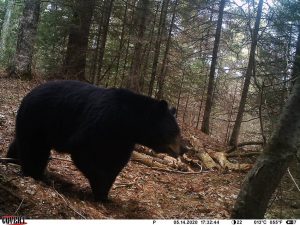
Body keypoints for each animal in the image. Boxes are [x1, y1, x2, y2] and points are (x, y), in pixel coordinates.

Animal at [7, 81, 183, 202]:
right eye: (174, 131)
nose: (184, 148)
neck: (128, 121)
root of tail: (28, 95)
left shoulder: (123, 140)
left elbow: (116, 161)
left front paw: (105, 193)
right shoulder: (101, 124)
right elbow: (84, 152)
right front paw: (100, 189)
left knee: (21, 142)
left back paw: (12, 159)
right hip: (39, 121)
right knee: (34, 150)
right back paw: (34, 173)